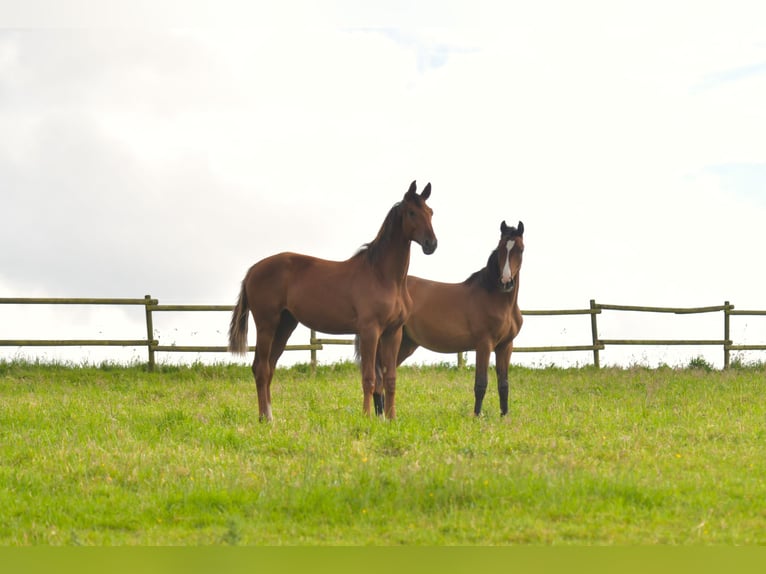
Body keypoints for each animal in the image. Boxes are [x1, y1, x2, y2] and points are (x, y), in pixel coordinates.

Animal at [228, 183, 438, 424]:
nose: (431, 244)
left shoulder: (393, 333)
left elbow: (390, 378)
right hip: (266, 325)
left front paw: (391, 419)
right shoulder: (370, 331)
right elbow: (369, 377)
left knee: (269, 367)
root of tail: (253, 270)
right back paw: (265, 419)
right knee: (261, 368)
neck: (383, 276)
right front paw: (366, 416)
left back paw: (270, 416)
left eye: (430, 212)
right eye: (412, 212)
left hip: (285, 326)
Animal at [368, 222, 524, 418]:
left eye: (520, 249)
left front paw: (504, 417)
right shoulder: (484, 345)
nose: (506, 281)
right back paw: (380, 415)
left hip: (405, 344)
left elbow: (503, 385)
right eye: (501, 248)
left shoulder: (505, 346)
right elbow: (481, 383)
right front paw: (476, 417)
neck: (497, 299)